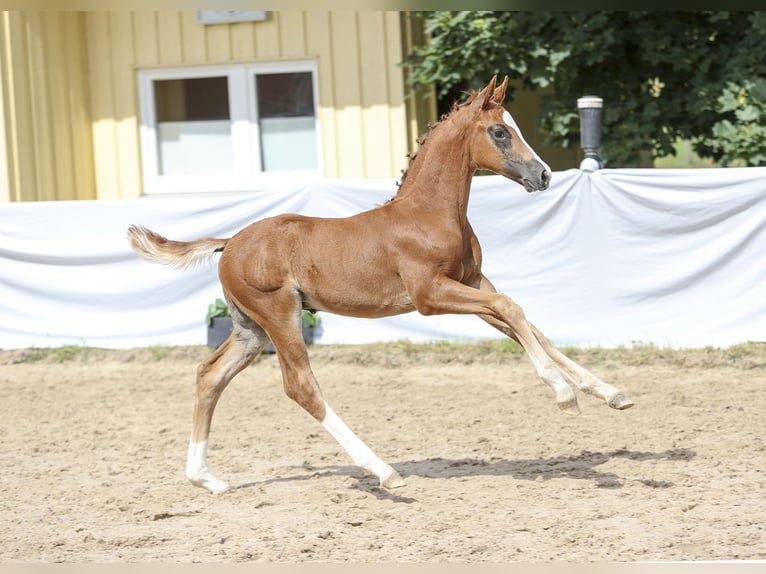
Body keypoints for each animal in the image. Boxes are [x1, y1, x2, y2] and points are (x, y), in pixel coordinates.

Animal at [129, 76, 636, 498]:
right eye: (499, 132)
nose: (544, 175)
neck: (428, 214)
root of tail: (230, 242)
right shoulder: (431, 295)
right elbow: (512, 308)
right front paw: (564, 393)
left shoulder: (471, 282)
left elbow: (527, 323)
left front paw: (610, 392)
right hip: (280, 315)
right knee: (301, 386)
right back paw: (385, 471)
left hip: (249, 328)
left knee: (210, 375)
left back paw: (206, 478)